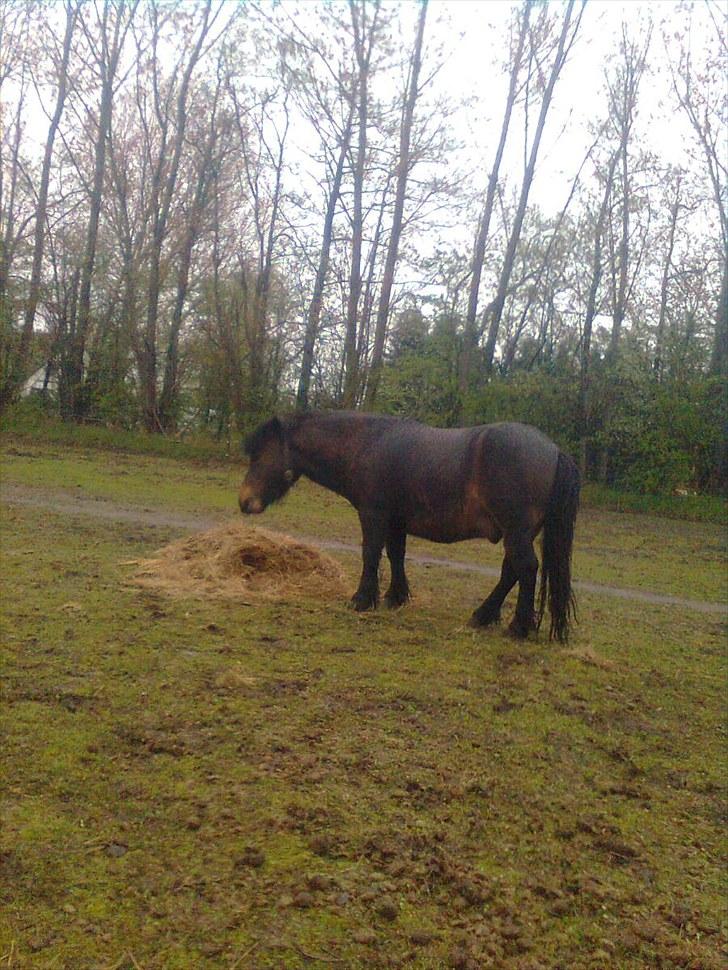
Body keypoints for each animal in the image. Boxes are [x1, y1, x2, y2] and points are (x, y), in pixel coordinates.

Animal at [239, 412, 580, 640]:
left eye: (260, 455)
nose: (244, 501)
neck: (366, 445)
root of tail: (552, 449)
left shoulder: (374, 514)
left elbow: (371, 554)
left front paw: (362, 600)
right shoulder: (395, 520)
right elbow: (396, 555)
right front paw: (395, 597)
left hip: (517, 531)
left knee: (526, 568)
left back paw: (518, 627)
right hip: (519, 533)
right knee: (512, 571)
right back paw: (482, 616)